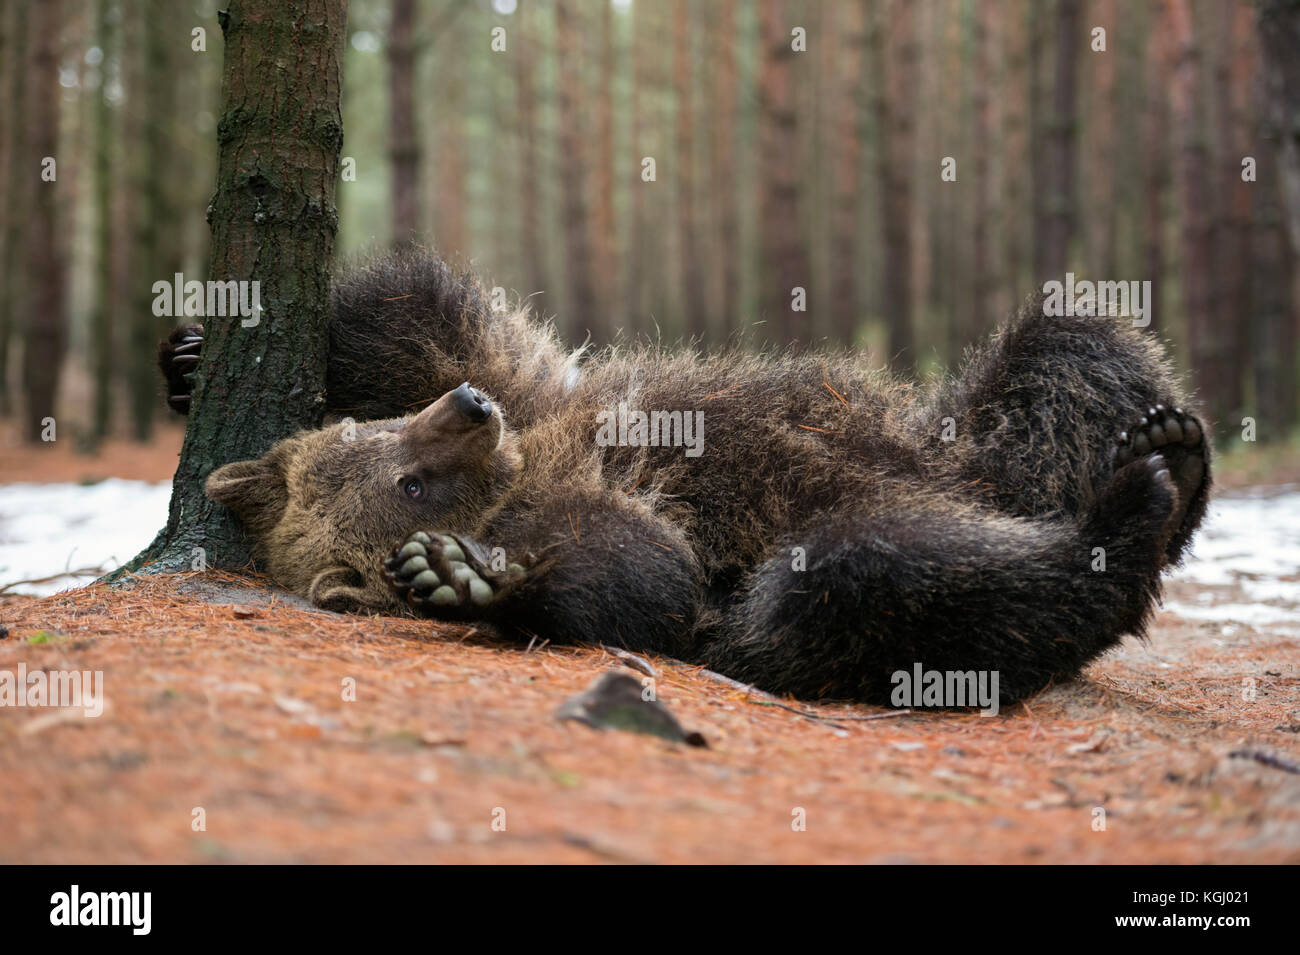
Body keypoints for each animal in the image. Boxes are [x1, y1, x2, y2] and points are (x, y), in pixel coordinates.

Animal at [159, 246, 1211, 707]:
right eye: (408, 485)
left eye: (377, 433)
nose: (468, 410)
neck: (520, 468)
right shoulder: (591, 512)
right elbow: (648, 575)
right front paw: (464, 576)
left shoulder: (532, 390)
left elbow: (413, 313)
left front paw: (191, 350)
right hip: (847, 561)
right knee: (862, 577)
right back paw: (1125, 524)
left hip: (972, 442)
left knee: (1072, 346)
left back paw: (1175, 445)